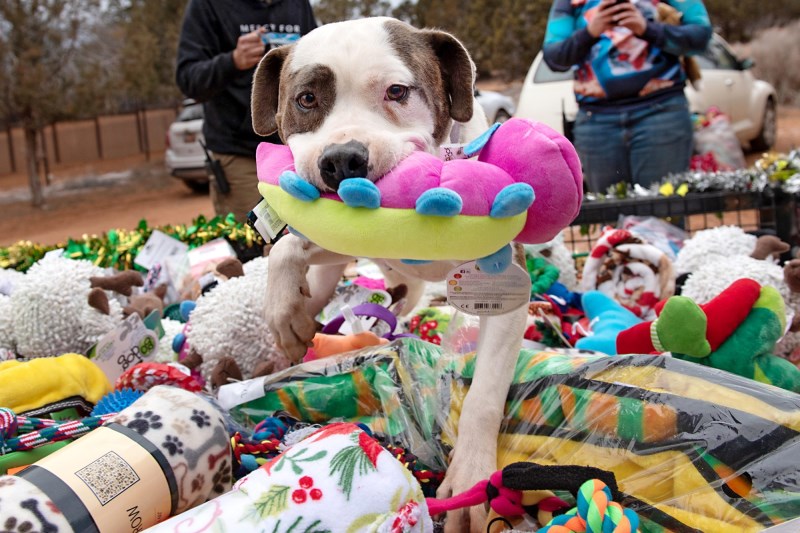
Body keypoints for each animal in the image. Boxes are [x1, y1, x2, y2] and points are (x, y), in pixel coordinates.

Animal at [253, 15, 528, 528]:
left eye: (397, 91)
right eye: (306, 99)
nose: (342, 158)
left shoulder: (505, 290)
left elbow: (484, 395)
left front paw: (471, 481)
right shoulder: (334, 237)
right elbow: (287, 247)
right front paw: (285, 316)